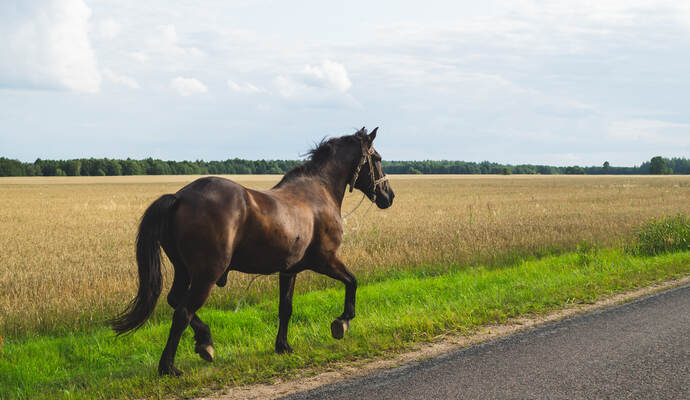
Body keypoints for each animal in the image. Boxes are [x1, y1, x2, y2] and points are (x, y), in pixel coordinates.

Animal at [110, 127, 395, 376]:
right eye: (378, 158)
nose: (389, 195)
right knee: (182, 312)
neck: (318, 191)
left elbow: (285, 307)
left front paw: (283, 346)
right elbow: (352, 281)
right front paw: (342, 321)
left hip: (183, 270)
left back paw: (204, 341)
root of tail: (179, 197)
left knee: (175, 301)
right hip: (206, 275)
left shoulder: (289, 270)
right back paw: (169, 366)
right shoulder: (326, 260)